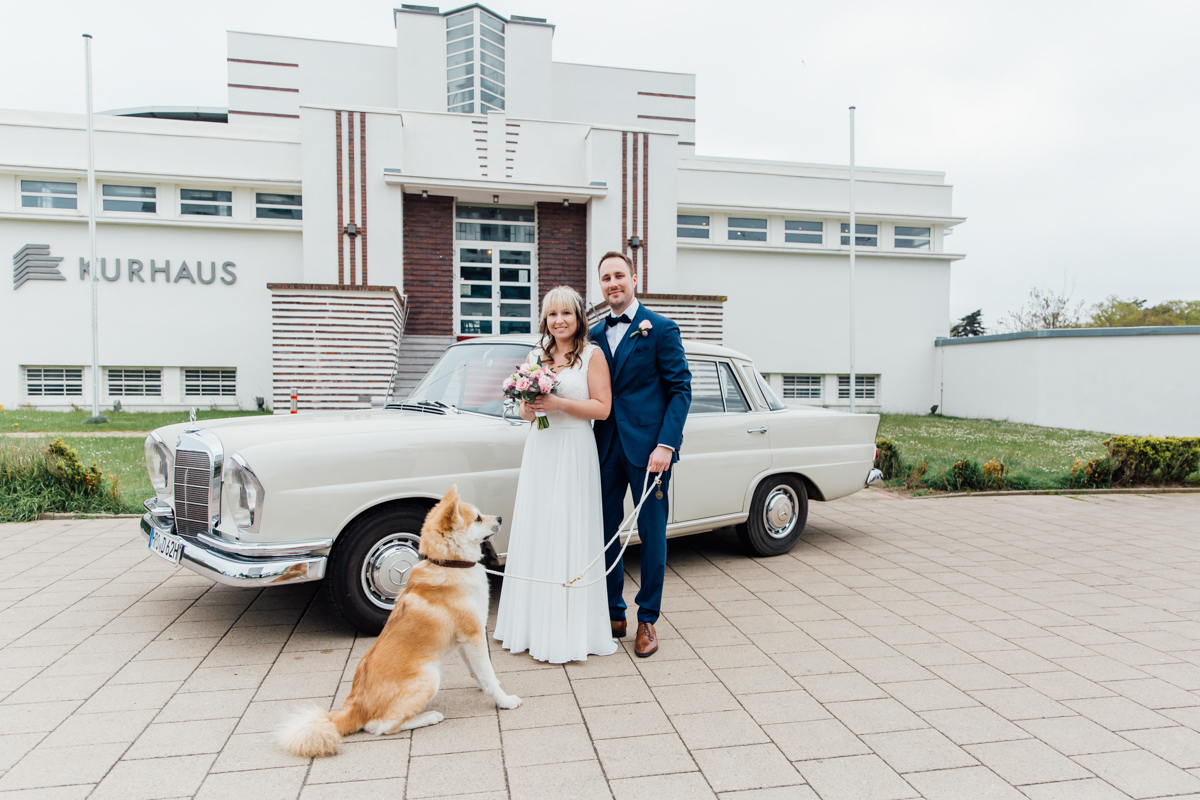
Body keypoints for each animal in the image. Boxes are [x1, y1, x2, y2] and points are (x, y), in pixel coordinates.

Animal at [283, 489, 528, 758]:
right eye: (477, 518)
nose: (501, 518)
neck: (448, 564)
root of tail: (356, 706)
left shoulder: (464, 639)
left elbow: (479, 672)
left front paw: (487, 688)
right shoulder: (473, 634)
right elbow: (487, 671)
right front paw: (504, 700)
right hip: (429, 677)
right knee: (379, 726)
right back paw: (429, 717)